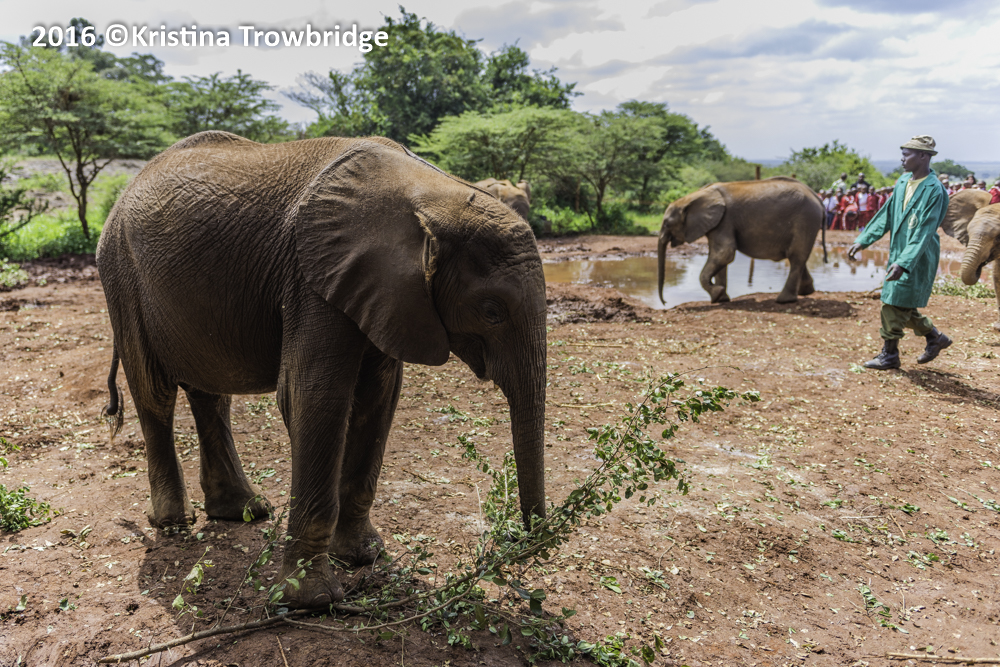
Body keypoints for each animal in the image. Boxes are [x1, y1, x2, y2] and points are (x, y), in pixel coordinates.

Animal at [96, 131, 548, 609]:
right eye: (492, 311)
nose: (517, 540)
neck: (431, 195)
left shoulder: (385, 293)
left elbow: (378, 398)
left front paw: (364, 556)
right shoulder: (312, 278)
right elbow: (312, 397)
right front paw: (310, 599)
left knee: (210, 392)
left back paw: (244, 512)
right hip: (122, 277)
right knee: (154, 393)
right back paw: (172, 522)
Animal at [657, 177, 824, 304]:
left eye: (667, 224)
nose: (665, 302)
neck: (693, 197)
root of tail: (816, 196)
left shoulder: (725, 220)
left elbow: (725, 253)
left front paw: (717, 294)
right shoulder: (719, 223)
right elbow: (719, 257)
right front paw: (721, 298)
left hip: (805, 220)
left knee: (796, 257)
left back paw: (784, 300)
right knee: (797, 257)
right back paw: (806, 291)